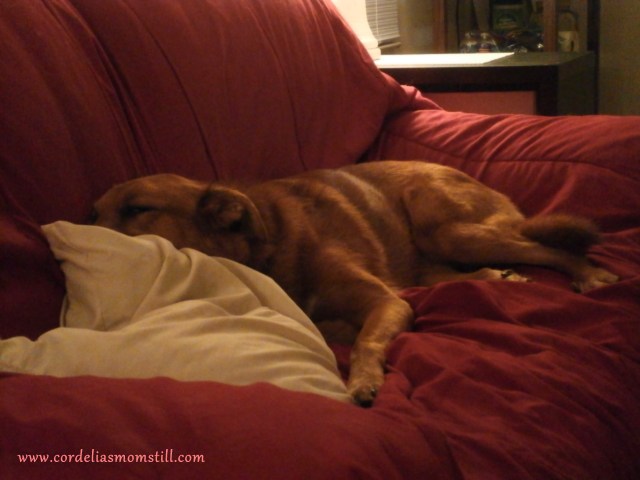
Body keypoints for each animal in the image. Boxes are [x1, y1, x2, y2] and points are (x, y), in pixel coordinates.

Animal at [91, 160, 619, 406]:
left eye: (138, 209)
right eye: (94, 214)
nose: (83, 226)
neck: (268, 245)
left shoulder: (385, 302)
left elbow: (367, 339)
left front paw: (364, 380)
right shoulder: (382, 298)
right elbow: (337, 327)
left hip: (450, 227)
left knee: (549, 248)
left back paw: (589, 274)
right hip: (431, 257)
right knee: (455, 274)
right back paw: (498, 275)